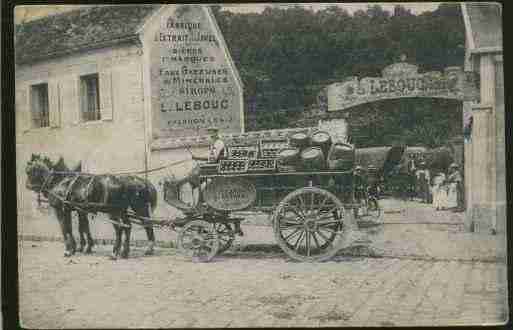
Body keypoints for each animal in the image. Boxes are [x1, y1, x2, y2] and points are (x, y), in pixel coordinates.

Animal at [25, 153, 157, 260]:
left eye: (28, 170)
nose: (27, 186)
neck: (60, 181)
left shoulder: (61, 210)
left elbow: (66, 229)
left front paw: (69, 250)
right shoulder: (77, 210)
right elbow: (81, 227)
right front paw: (81, 247)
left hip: (119, 210)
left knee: (125, 227)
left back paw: (116, 253)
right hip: (124, 210)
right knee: (129, 226)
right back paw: (125, 252)